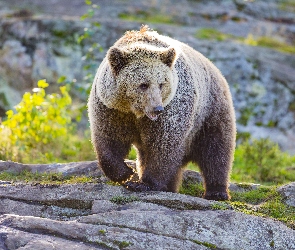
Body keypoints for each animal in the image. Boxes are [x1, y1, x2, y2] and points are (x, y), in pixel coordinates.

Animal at [88, 25, 238, 201]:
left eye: (161, 84)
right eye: (143, 84)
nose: (157, 109)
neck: (135, 112)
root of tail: (216, 70)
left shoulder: (172, 110)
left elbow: (164, 145)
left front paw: (143, 183)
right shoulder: (112, 110)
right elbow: (109, 138)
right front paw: (125, 173)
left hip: (210, 111)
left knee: (216, 150)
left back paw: (217, 192)